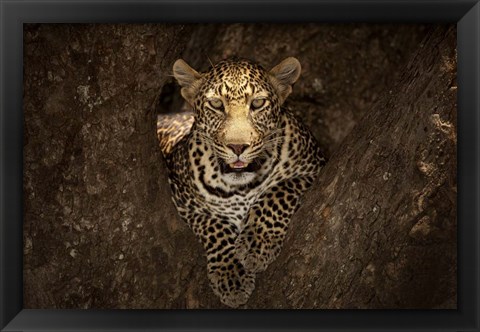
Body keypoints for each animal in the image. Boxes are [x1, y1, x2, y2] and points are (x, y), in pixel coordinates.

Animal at [158, 57, 326, 308]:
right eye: (216, 104)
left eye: (257, 103)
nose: (237, 147)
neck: (241, 188)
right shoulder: (182, 200)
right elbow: (214, 225)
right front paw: (231, 276)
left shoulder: (314, 168)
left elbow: (277, 192)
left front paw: (257, 243)